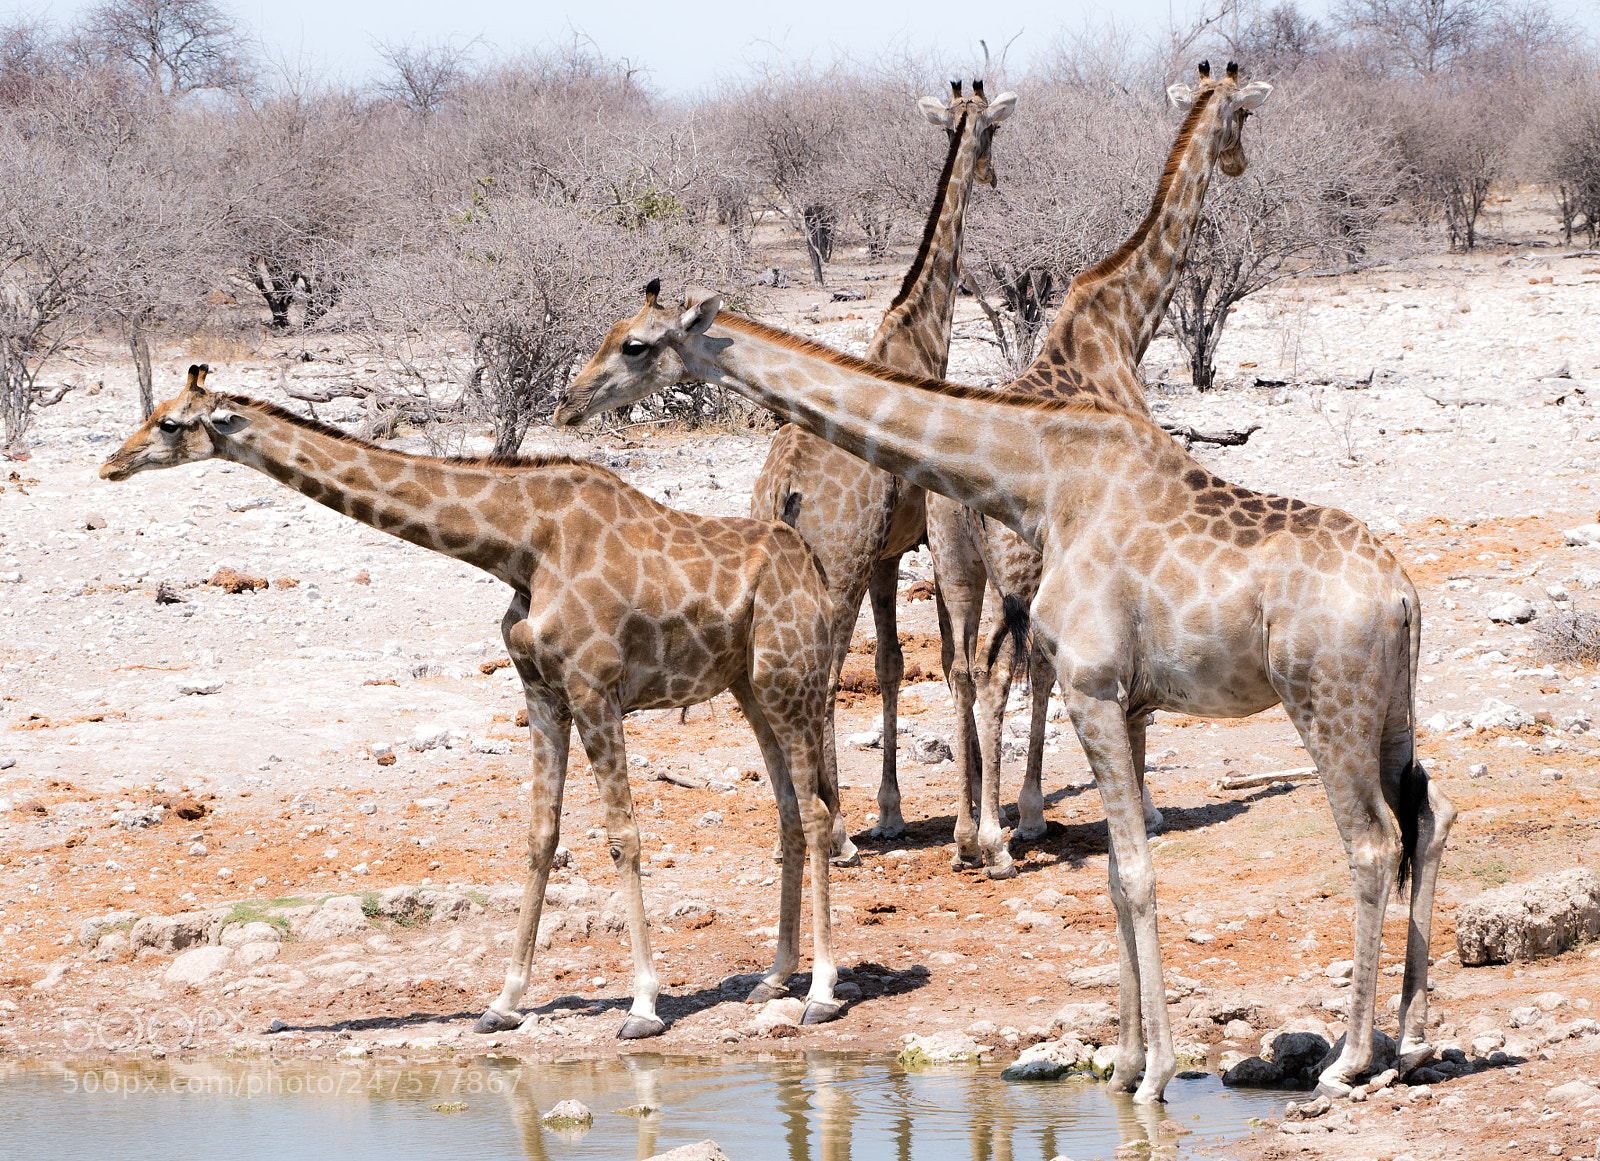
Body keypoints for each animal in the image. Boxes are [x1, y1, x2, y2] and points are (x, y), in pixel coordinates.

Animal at [100, 364, 847, 1037]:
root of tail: (810, 566)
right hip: (750, 687)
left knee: (815, 812)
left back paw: (820, 990)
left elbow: (623, 836)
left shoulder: (594, 688)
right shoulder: (541, 690)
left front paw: (642, 1004)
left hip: (791, 677)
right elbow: (540, 835)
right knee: (788, 809)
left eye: (169, 422)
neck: (521, 546)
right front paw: (504, 1001)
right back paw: (774, 976)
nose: (111, 463)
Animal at [553, 297, 1455, 1105]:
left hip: (1325, 704)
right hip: (1392, 711)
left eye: (634, 344)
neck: (1039, 482)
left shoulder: (1092, 687)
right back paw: (1409, 1043)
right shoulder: (1129, 702)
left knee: (1371, 840)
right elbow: (1115, 874)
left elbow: (1135, 869)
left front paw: (1157, 1071)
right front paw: (1124, 1063)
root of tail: (1403, 594)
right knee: (1429, 814)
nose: (567, 400)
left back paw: (1347, 1060)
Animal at [751, 79, 1015, 848]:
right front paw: (961, 817)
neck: (918, 337)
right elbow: (947, 664)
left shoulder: (887, 555)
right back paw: (834, 830)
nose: (992, 173)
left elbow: (895, 665)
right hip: (833, 569)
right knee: (825, 669)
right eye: (991, 131)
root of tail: (783, 488)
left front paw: (892, 808)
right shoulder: (911, 545)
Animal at [929, 61, 1272, 878]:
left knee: (962, 670)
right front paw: (1141, 808)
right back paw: (992, 845)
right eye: (1244, 115)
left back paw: (964, 833)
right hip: (1012, 571)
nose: (1240, 162)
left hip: (958, 566)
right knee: (993, 674)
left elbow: (1052, 670)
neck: (1122, 327)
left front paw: (1031, 813)